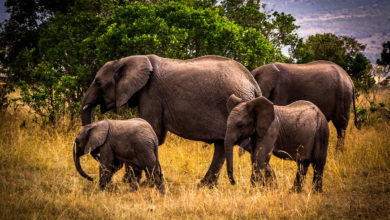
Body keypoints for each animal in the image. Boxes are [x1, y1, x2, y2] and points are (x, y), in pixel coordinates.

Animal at [80, 54, 260, 186]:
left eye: (98, 82)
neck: (127, 60)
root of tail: (253, 84)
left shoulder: (151, 94)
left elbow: (150, 130)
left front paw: (132, 182)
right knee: (222, 145)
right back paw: (205, 185)